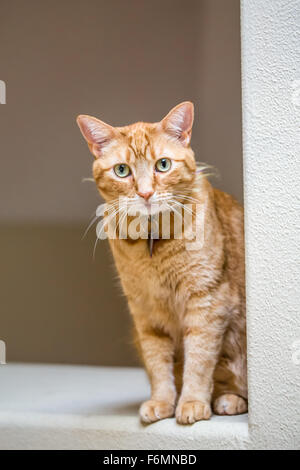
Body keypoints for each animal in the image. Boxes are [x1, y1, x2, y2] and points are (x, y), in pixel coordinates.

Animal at [76, 102, 247, 422]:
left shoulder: (206, 303)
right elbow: (158, 365)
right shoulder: (146, 314)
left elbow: (198, 361)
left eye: (163, 165)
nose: (145, 193)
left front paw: (192, 402)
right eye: (122, 170)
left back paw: (229, 400)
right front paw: (162, 401)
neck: (152, 242)